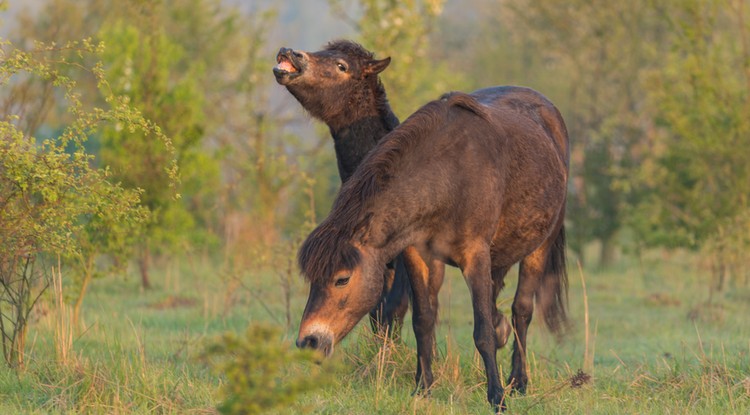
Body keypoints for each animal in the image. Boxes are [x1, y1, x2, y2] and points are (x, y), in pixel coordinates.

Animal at [296, 85, 572, 412]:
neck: (449, 174)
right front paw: (423, 388)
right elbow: (423, 322)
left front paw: (497, 397)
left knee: (522, 311)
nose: (308, 342)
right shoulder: (417, 255)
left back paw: (517, 381)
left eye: (342, 279)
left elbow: (483, 332)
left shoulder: (475, 256)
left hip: (538, 247)